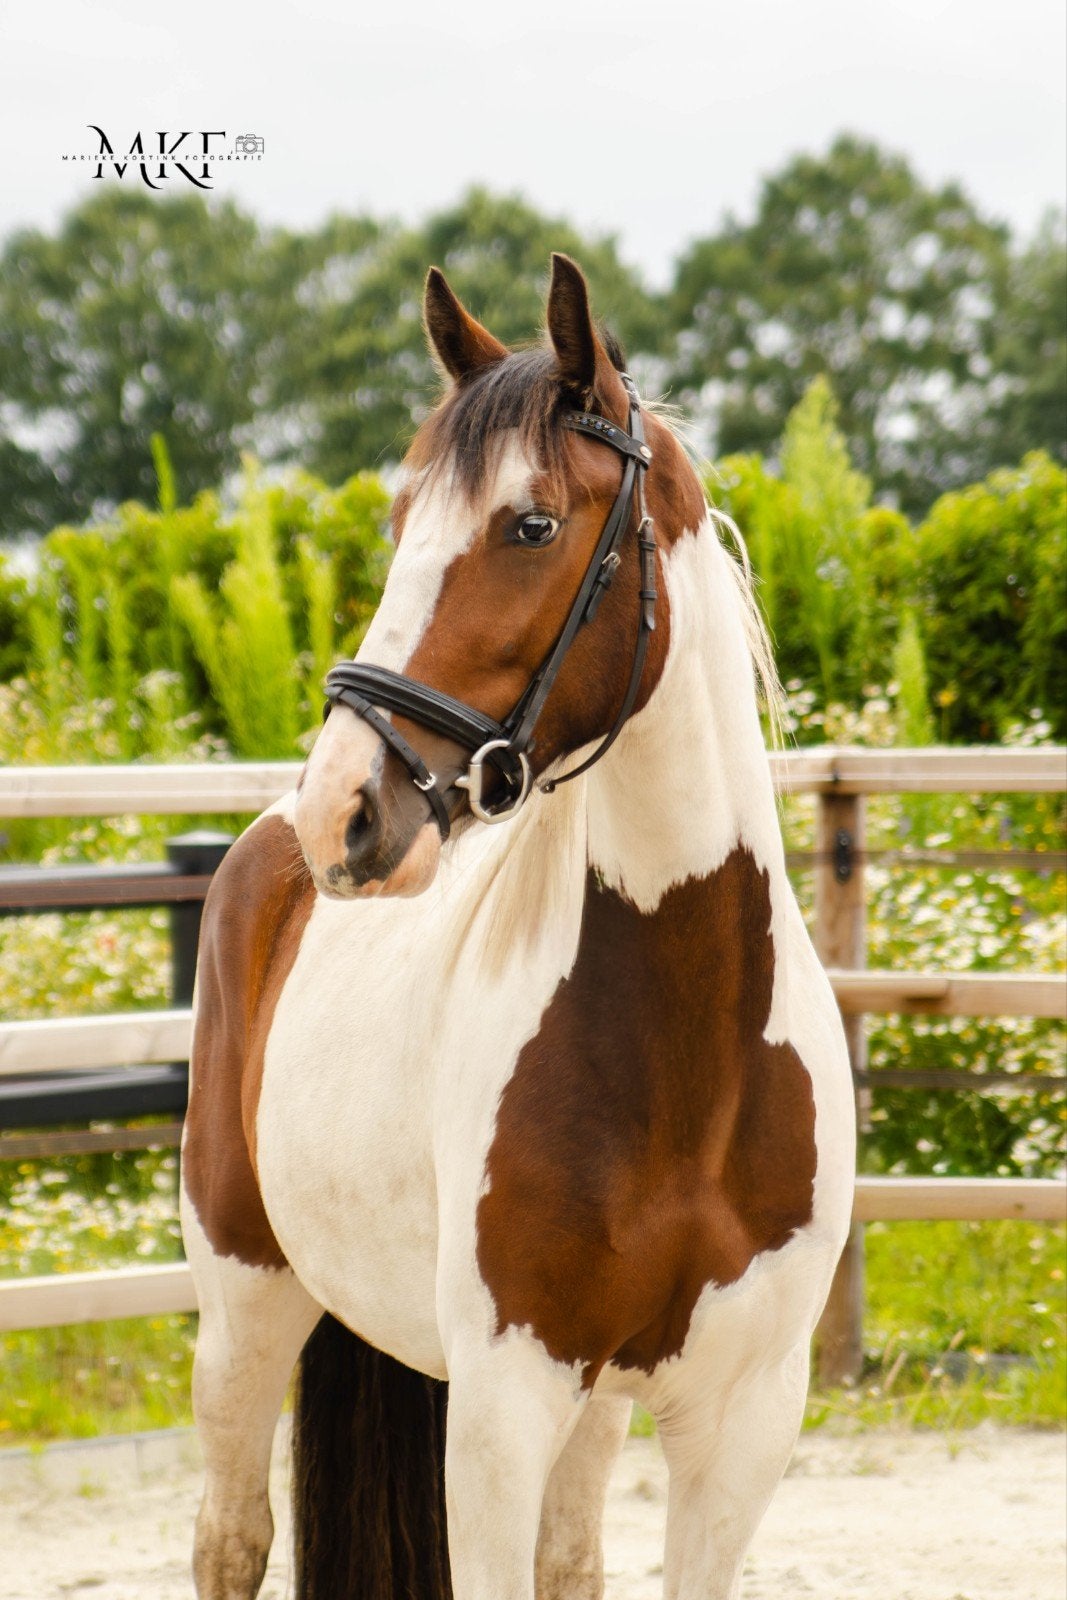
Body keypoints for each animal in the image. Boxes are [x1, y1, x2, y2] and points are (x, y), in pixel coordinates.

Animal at [180, 253, 856, 1600]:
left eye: (530, 524)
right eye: (401, 526)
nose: (344, 807)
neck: (691, 1060)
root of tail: (259, 849)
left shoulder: (742, 1420)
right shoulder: (500, 1408)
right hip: (242, 1301)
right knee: (230, 1541)